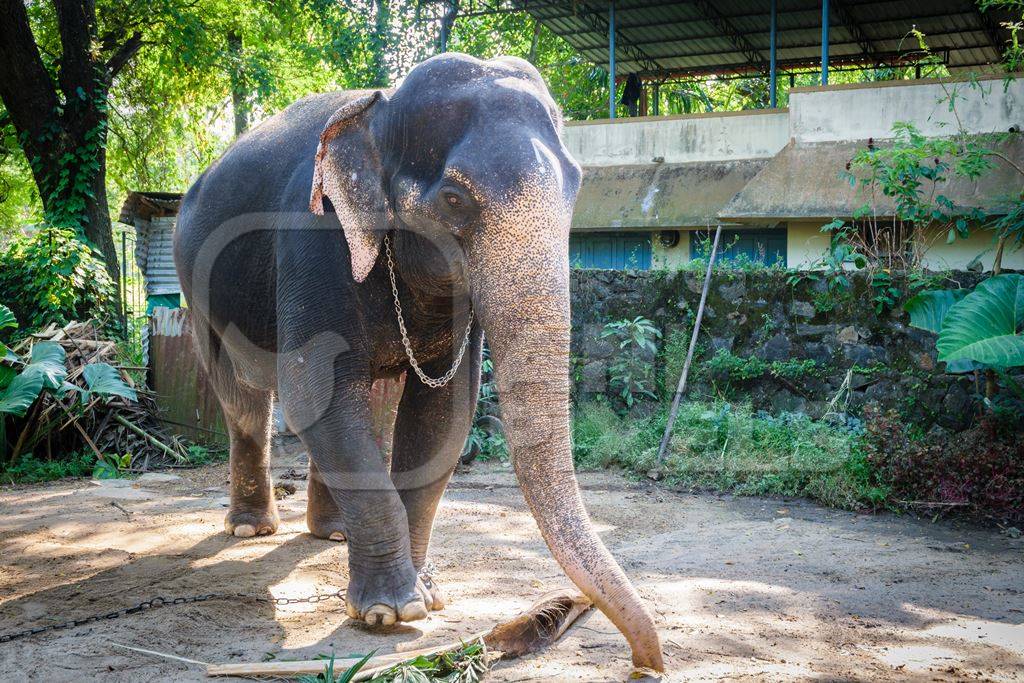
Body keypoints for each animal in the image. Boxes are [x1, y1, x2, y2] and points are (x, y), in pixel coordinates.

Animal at [172, 53, 667, 671]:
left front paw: (426, 595)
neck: (379, 111)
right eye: (454, 199)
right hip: (198, 289)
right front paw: (390, 613)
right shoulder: (311, 236)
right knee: (243, 399)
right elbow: (314, 391)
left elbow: (443, 414)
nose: (647, 664)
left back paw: (332, 534)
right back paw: (250, 530)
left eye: (576, 187)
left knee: (372, 405)